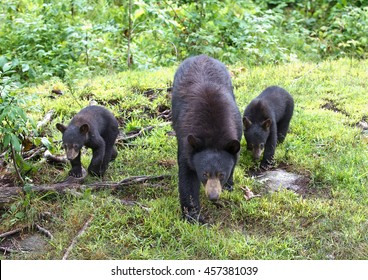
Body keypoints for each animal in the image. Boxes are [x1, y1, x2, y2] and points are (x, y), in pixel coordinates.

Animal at [171, 55, 243, 223]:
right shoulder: (186, 141)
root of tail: (202, 56)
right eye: (204, 174)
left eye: (221, 174)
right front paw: (193, 215)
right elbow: (187, 176)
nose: (213, 196)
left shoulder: (237, 127)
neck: (213, 135)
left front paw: (229, 185)